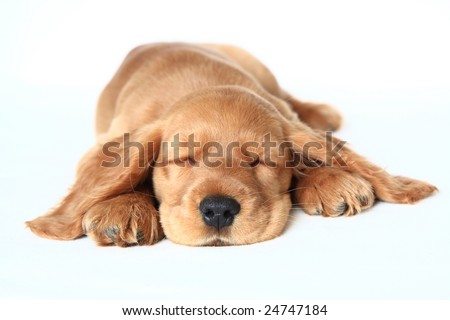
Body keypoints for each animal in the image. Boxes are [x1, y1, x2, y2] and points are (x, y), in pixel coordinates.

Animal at [26, 43, 438, 248]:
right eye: (185, 160)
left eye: (259, 161)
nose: (218, 210)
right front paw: (123, 207)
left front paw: (330, 179)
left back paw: (323, 113)